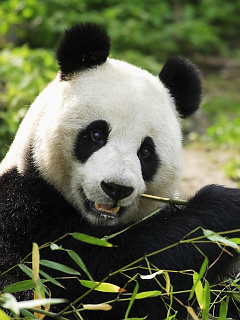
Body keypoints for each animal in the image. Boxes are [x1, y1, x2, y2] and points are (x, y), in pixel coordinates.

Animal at [0, 22, 240, 320]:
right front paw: (226, 207)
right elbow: (104, 279)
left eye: (146, 152)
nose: (116, 188)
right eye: (96, 134)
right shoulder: (24, 215)